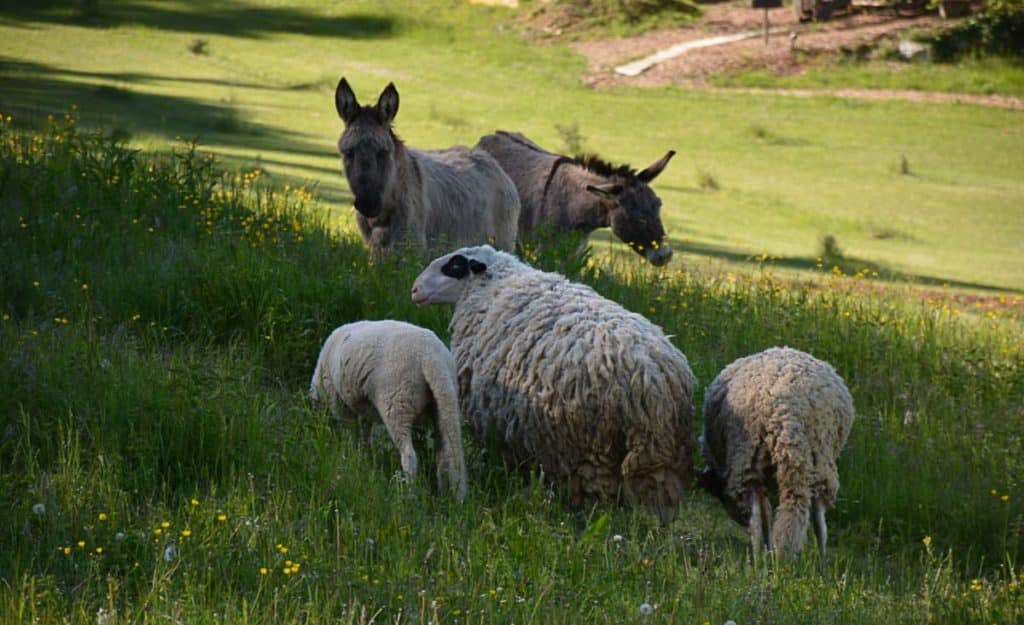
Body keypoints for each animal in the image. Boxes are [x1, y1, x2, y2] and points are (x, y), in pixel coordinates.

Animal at [307, 319, 468, 497]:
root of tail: (431, 356)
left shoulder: (338, 402)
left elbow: (350, 432)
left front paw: (350, 458)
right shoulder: (364, 410)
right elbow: (364, 434)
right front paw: (362, 458)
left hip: (397, 401)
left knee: (409, 455)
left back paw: (409, 493)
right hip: (443, 401)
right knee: (445, 453)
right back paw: (445, 492)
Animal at [407, 243, 696, 520]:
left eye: (453, 266)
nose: (414, 289)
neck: (492, 283)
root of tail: (652, 383)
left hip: (588, 449)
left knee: (595, 495)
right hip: (655, 461)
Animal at [696, 346, 856, 561]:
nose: (739, 520)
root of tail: (790, 410)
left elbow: (763, 513)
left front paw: (766, 548)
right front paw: (770, 548)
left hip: (747, 457)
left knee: (757, 515)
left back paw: (758, 558)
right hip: (820, 455)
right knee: (817, 516)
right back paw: (818, 559)